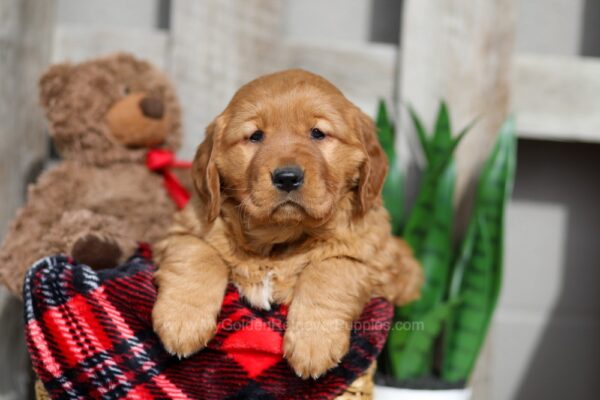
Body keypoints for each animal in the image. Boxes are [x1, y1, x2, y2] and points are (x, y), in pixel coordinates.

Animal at [152, 69, 420, 378]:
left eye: (318, 133)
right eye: (255, 136)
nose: (288, 177)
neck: (279, 238)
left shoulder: (378, 260)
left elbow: (330, 270)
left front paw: (314, 345)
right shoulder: (180, 230)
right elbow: (197, 254)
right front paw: (181, 320)